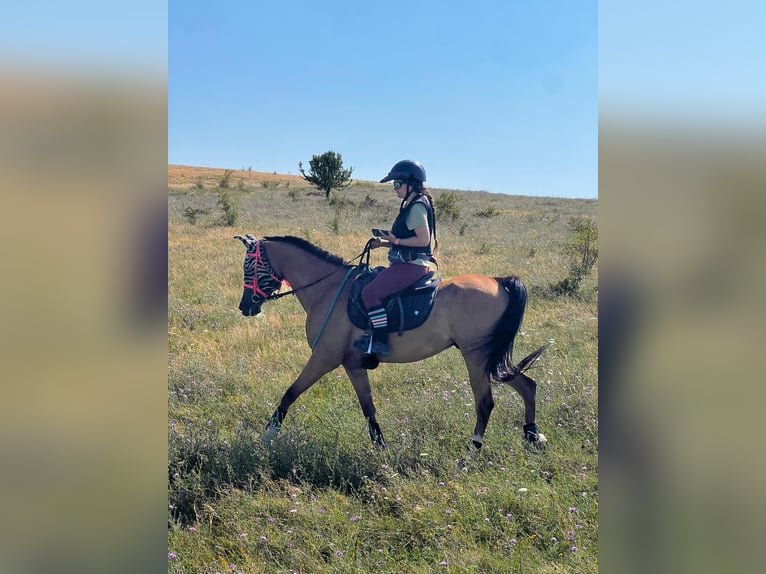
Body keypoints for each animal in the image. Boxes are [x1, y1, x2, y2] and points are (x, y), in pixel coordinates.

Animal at [234, 234, 549, 451]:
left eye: (249, 266)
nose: (245, 307)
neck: (327, 290)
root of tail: (500, 281)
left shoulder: (324, 358)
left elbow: (290, 393)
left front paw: (266, 436)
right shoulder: (353, 365)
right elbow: (368, 408)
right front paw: (381, 448)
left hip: (476, 357)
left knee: (485, 402)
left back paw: (471, 451)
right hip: (490, 356)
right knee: (526, 385)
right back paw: (533, 435)